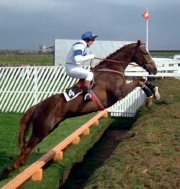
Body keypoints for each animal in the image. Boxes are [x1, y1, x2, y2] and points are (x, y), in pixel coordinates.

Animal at [5, 39, 158, 174]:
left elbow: (143, 81)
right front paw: (150, 96)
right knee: (26, 148)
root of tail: (37, 106)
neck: (111, 70)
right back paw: (11, 168)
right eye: (145, 53)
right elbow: (139, 81)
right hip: (41, 130)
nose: (155, 69)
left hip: (47, 128)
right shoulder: (120, 92)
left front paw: (154, 93)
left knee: (27, 149)